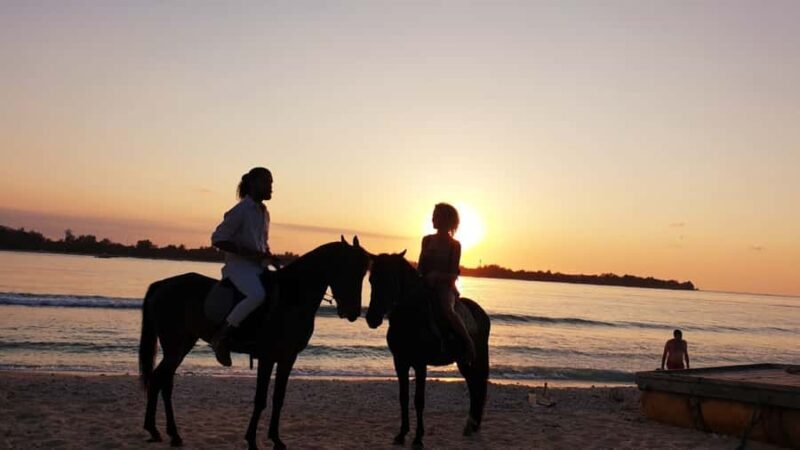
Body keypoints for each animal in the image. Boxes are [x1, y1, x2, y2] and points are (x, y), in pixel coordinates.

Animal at [138, 237, 370, 450]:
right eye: (348, 269)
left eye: (363, 274)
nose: (353, 313)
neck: (291, 297)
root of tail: (163, 285)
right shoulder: (267, 357)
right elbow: (260, 399)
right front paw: (251, 440)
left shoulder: (288, 358)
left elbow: (278, 398)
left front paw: (276, 439)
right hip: (174, 345)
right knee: (159, 379)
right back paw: (159, 430)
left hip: (182, 344)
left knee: (163, 381)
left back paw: (168, 433)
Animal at [365, 251, 491, 448]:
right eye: (371, 280)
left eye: (390, 279)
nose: (372, 318)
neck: (410, 317)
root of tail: (480, 313)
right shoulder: (400, 363)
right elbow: (403, 398)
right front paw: (401, 434)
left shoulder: (420, 364)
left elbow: (419, 400)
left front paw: (418, 439)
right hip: (463, 361)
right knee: (473, 385)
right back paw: (472, 425)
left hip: (475, 358)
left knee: (477, 384)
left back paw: (472, 425)